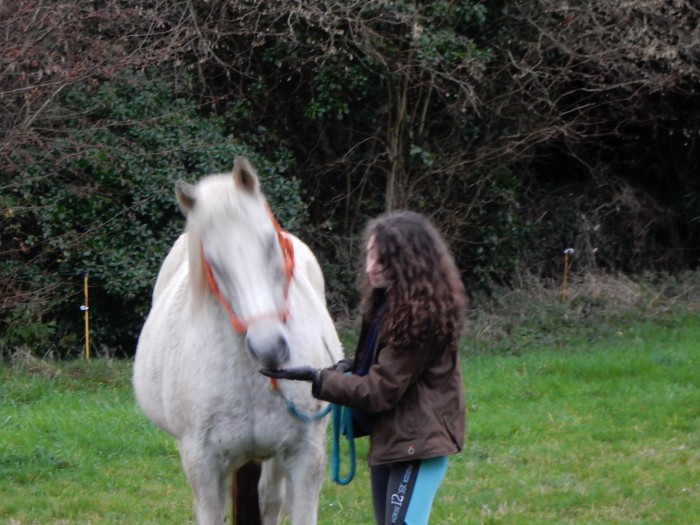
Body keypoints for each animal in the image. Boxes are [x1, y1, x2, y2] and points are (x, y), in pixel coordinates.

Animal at [133, 158, 344, 524]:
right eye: (213, 263)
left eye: (271, 243)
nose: (269, 347)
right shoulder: (204, 468)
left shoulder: (305, 459)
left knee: (271, 499)